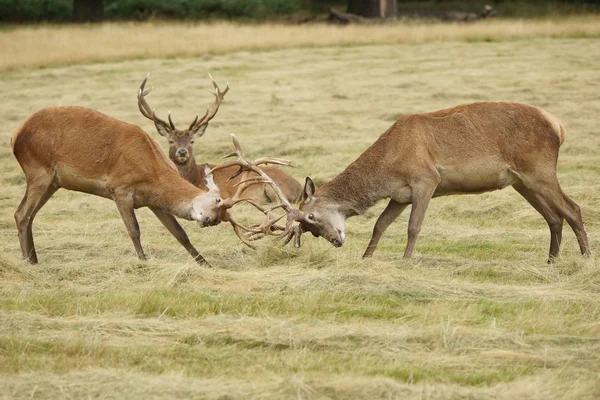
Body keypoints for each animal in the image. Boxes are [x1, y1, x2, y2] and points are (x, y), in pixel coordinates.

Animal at [12, 97, 232, 266]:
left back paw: (33, 259)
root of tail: (15, 135)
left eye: (219, 217)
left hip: (52, 182)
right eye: (217, 202)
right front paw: (143, 261)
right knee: (22, 214)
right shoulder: (120, 189)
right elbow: (134, 229)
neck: (152, 172)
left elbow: (179, 233)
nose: (208, 221)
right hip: (38, 170)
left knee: (28, 214)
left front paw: (206, 264)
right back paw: (28, 262)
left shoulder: (154, 201)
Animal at [139, 74, 302, 206]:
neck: (195, 179)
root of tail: (299, 188)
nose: (182, 152)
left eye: (192, 141)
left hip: (271, 187)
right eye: (171, 141)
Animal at [250, 101, 592, 262]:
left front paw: (406, 259)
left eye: (310, 218)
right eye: (310, 229)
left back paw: (585, 259)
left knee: (572, 209)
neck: (388, 166)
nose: (336, 240)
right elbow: (380, 225)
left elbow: (413, 227)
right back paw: (551, 260)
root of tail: (557, 125)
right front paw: (366, 258)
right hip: (521, 180)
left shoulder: (426, 180)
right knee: (553, 216)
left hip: (539, 168)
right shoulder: (400, 194)